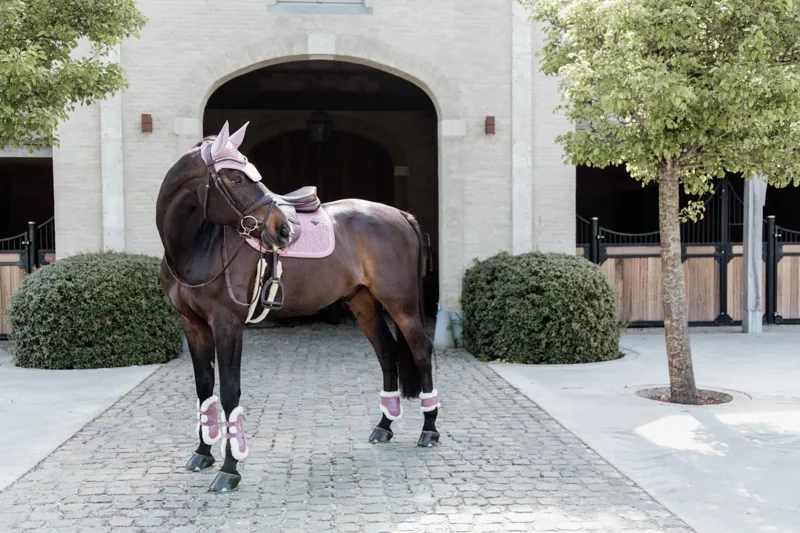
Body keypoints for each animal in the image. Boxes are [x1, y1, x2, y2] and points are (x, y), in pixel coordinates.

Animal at [156, 121, 440, 492]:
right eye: (235, 178)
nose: (282, 230)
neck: (196, 246)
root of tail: (401, 215)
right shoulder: (192, 324)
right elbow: (205, 388)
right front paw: (203, 453)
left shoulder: (227, 323)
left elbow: (230, 392)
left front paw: (230, 469)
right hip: (363, 303)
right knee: (387, 352)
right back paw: (384, 426)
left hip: (401, 304)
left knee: (420, 350)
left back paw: (429, 430)